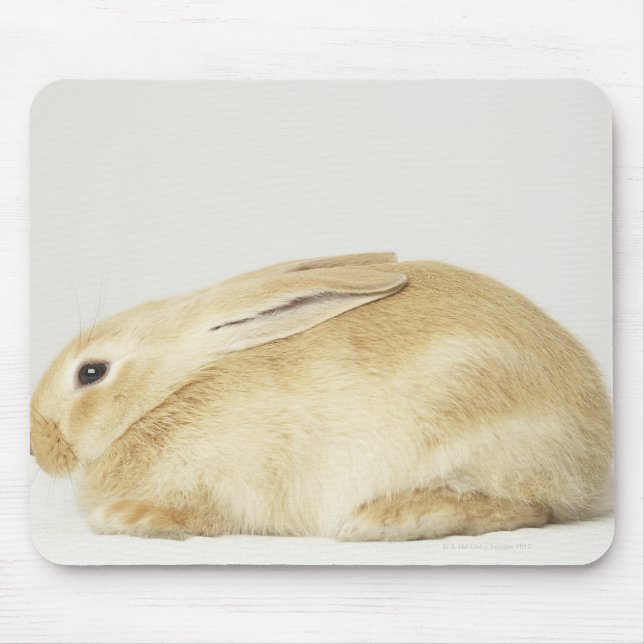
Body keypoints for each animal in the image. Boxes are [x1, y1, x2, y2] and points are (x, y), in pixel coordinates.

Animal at [30, 252, 612, 541]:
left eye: (91, 373)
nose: (37, 449)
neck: (168, 393)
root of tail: (594, 448)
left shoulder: (225, 484)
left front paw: (125, 518)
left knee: (527, 508)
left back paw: (384, 520)